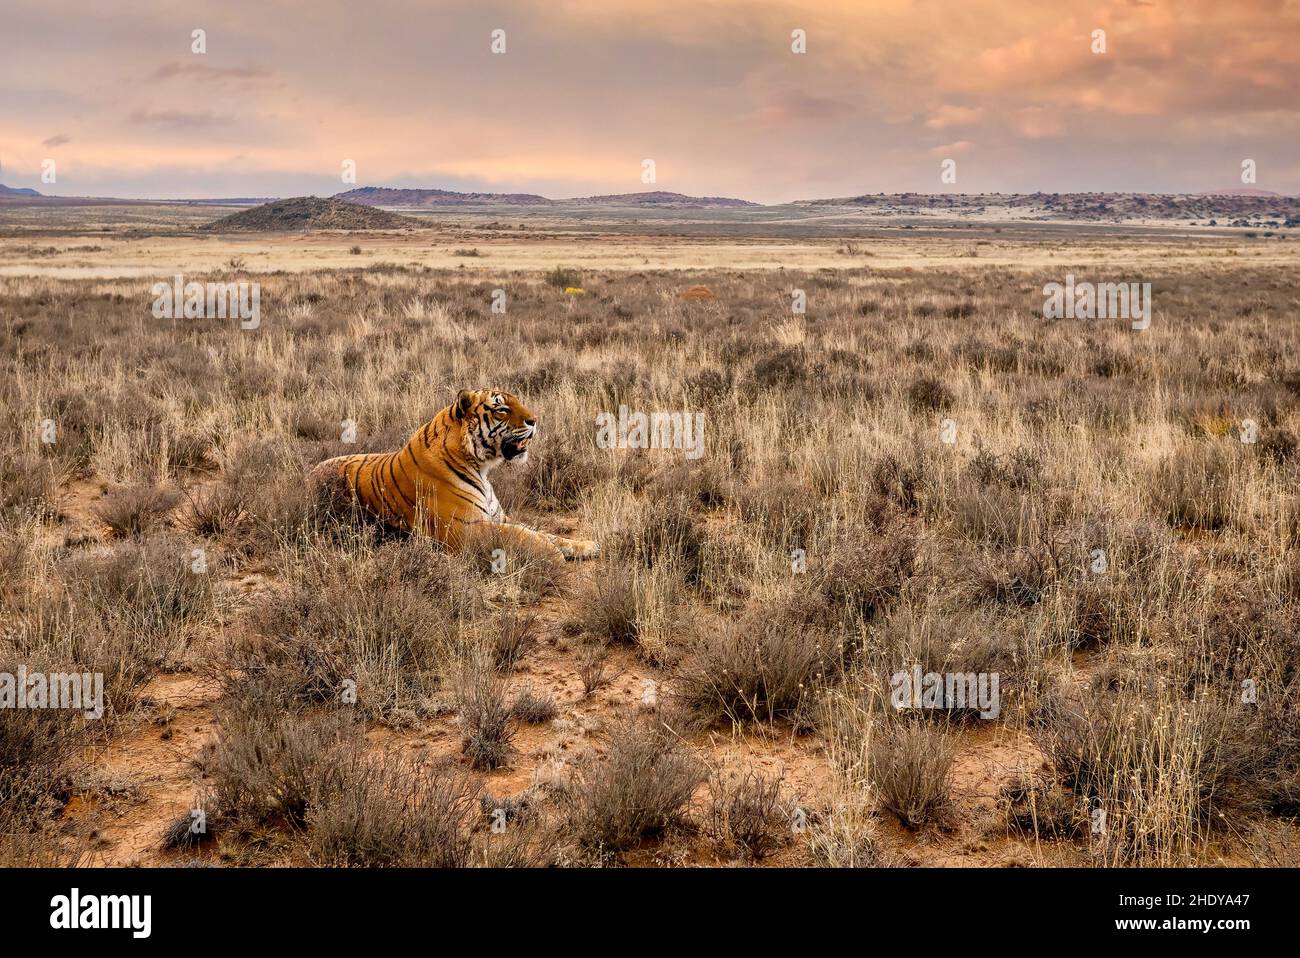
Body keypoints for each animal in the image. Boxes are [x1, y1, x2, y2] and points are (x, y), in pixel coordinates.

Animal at [306, 387, 600, 556]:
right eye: (502, 409)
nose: (535, 421)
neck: (481, 467)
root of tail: (308, 476)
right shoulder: (464, 529)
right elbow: (523, 535)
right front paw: (553, 554)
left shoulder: (499, 518)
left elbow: (543, 532)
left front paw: (586, 545)